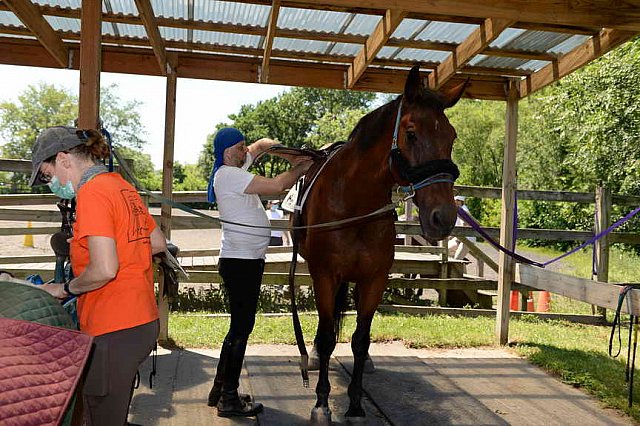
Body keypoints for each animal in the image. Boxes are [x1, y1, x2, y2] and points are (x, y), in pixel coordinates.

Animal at [294, 65, 464, 424]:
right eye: (411, 133)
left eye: (451, 136)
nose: (443, 216)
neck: (354, 201)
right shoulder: (324, 275)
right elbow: (328, 337)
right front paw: (322, 402)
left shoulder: (374, 279)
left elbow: (360, 339)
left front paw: (356, 405)